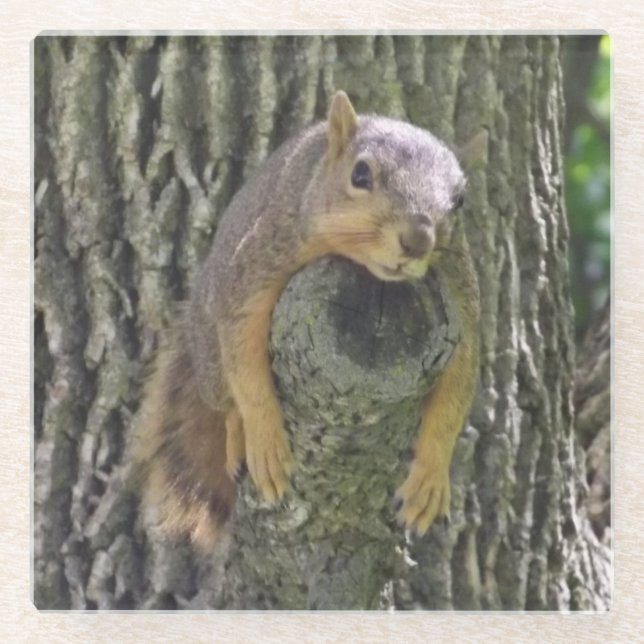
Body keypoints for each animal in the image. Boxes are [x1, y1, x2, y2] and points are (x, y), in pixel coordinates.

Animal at [136, 90, 482, 550]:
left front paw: (430, 479)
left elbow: (455, 395)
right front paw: (265, 439)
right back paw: (238, 435)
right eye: (360, 174)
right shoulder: (261, 261)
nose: (418, 240)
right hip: (209, 354)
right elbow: (245, 362)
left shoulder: (460, 299)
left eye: (459, 200)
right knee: (225, 397)